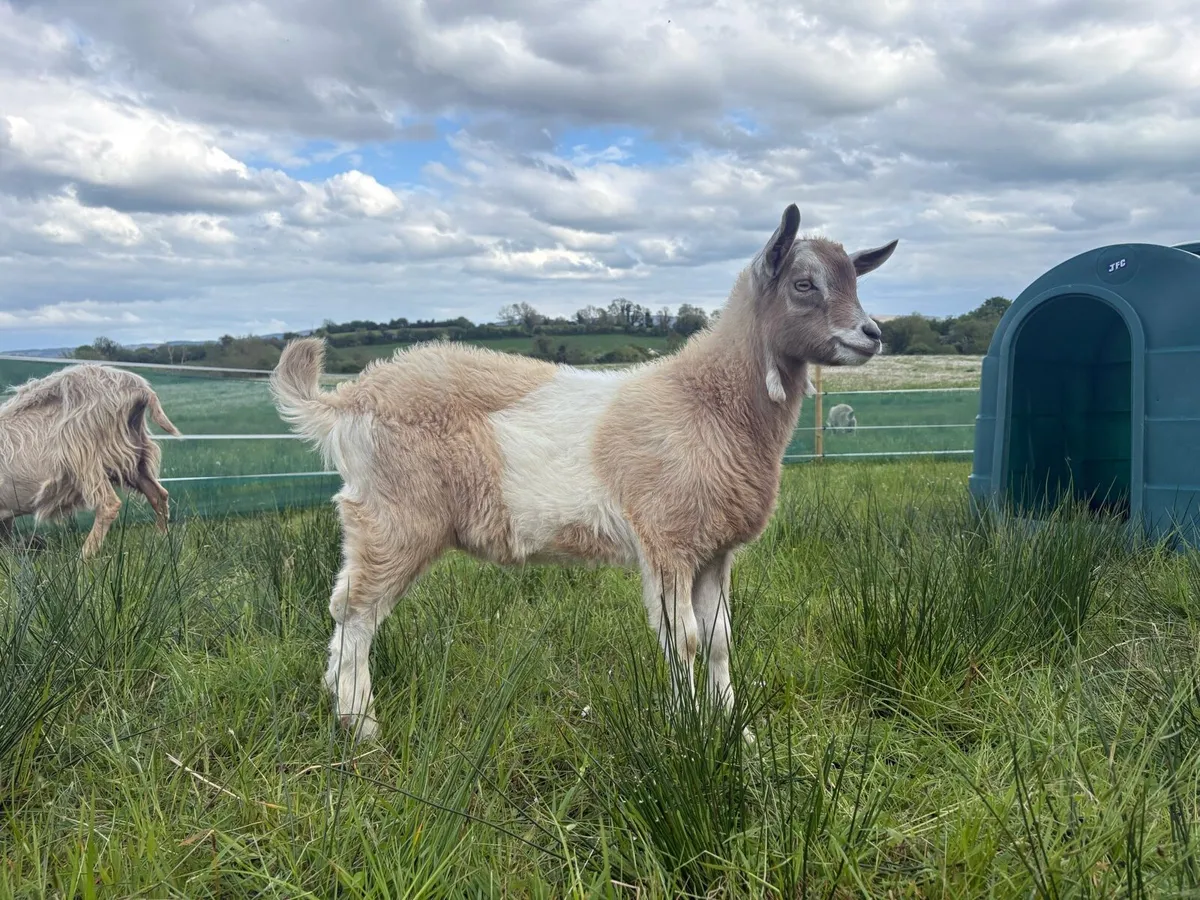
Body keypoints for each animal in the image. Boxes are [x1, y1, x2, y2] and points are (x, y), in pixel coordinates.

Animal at [0, 363, 181, 557]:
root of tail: (139, 387)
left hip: (84, 454)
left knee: (109, 504)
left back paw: (84, 557)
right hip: (131, 455)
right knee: (158, 495)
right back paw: (161, 541)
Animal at [270, 203, 898, 742]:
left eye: (855, 279)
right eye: (803, 284)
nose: (873, 334)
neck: (706, 401)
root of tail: (350, 398)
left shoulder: (715, 549)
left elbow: (719, 640)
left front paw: (731, 729)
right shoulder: (665, 540)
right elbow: (685, 642)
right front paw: (690, 732)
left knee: (348, 609)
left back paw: (344, 711)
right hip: (394, 518)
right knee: (355, 614)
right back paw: (362, 725)